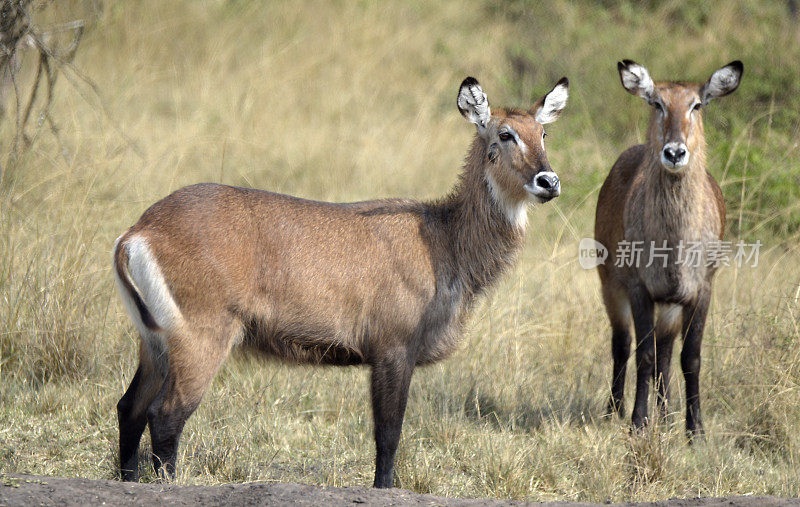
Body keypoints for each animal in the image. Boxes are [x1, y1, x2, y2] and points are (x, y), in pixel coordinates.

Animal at [115, 75, 572, 488]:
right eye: (506, 134)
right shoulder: (393, 349)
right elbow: (388, 437)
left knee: (129, 408)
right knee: (165, 416)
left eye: (543, 132)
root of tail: (140, 231)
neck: (444, 239)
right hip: (201, 339)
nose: (549, 181)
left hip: (154, 343)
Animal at [596, 59, 740, 436]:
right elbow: (642, 354)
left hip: (671, 305)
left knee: (665, 351)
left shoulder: (700, 289)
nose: (674, 152)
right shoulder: (639, 288)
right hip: (610, 285)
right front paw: (637, 423)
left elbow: (690, 357)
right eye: (657, 103)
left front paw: (695, 430)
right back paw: (614, 411)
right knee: (623, 345)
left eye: (697, 104)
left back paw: (666, 415)